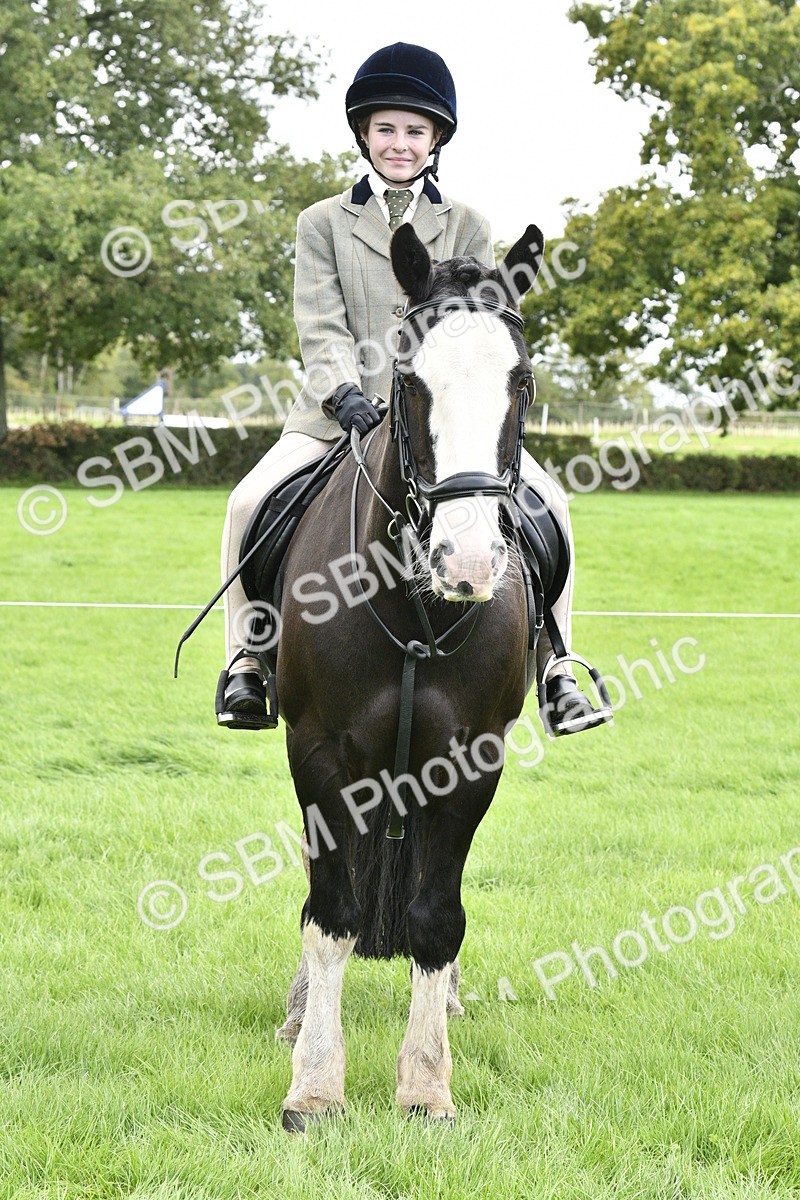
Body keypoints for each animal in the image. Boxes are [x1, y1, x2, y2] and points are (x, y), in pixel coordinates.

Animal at [272, 222, 546, 1131]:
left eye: (521, 381)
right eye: (408, 381)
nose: (468, 562)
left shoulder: (469, 759)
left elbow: (434, 917)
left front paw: (426, 1086)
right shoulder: (318, 753)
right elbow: (331, 915)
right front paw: (315, 1088)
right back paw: (299, 1015)